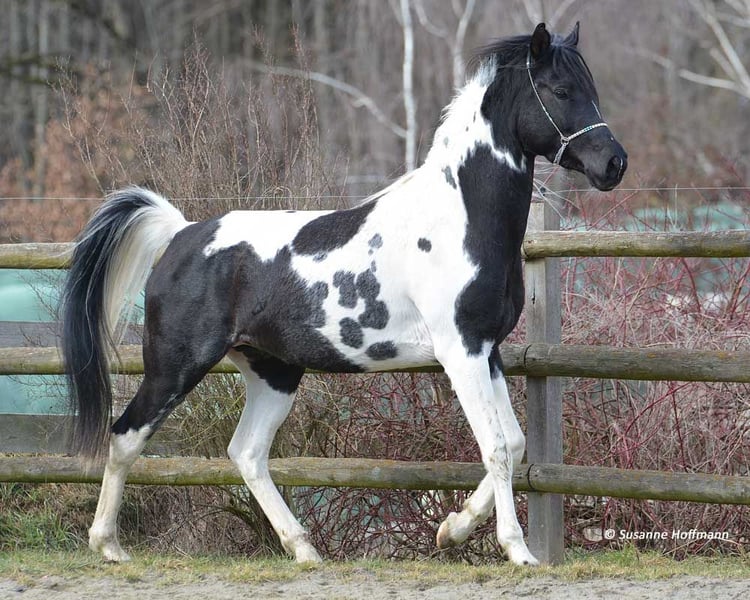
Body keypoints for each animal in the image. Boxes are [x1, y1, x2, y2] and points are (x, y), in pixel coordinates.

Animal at [61, 22, 626, 566]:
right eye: (561, 90)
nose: (614, 164)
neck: (458, 220)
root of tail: (181, 233)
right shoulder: (460, 352)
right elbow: (495, 449)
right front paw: (517, 550)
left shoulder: (488, 352)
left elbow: (515, 441)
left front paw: (451, 531)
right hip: (176, 366)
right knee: (126, 436)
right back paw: (108, 545)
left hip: (274, 373)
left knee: (247, 453)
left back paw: (304, 550)